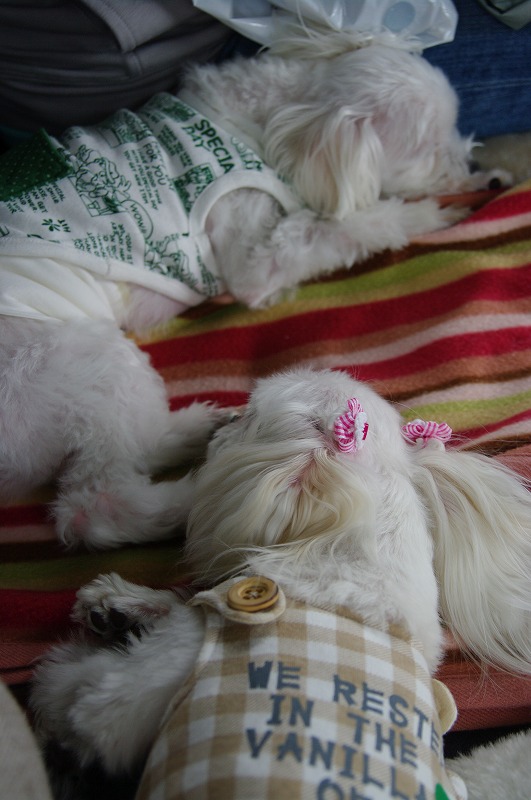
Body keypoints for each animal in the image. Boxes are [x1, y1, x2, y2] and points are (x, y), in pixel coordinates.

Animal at [0, 28, 509, 549]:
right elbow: (341, 229)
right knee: (95, 502)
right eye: (429, 153)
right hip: (81, 363)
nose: (477, 168)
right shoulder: (252, 252)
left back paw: (199, 427)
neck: (261, 120)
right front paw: (425, 214)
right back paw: (205, 487)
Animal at [30, 368, 531, 799]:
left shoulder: (128, 698)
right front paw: (117, 604)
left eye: (249, 415)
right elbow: (182, 604)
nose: (225, 422)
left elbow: (76, 696)